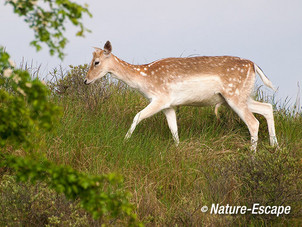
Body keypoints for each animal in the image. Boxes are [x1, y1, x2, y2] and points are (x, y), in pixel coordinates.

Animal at [84, 40, 278, 151]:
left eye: (96, 62)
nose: (86, 80)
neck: (144, 79)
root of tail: (253, 65)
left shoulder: (160, 98)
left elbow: (137, 116)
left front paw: (124, 141)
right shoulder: (169, 105)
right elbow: (174, 129)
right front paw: (178, 149)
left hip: (235, 95)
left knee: (253, 122)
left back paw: (252, 155)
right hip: (239, 96)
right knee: (267, 108)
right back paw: (275, 148)